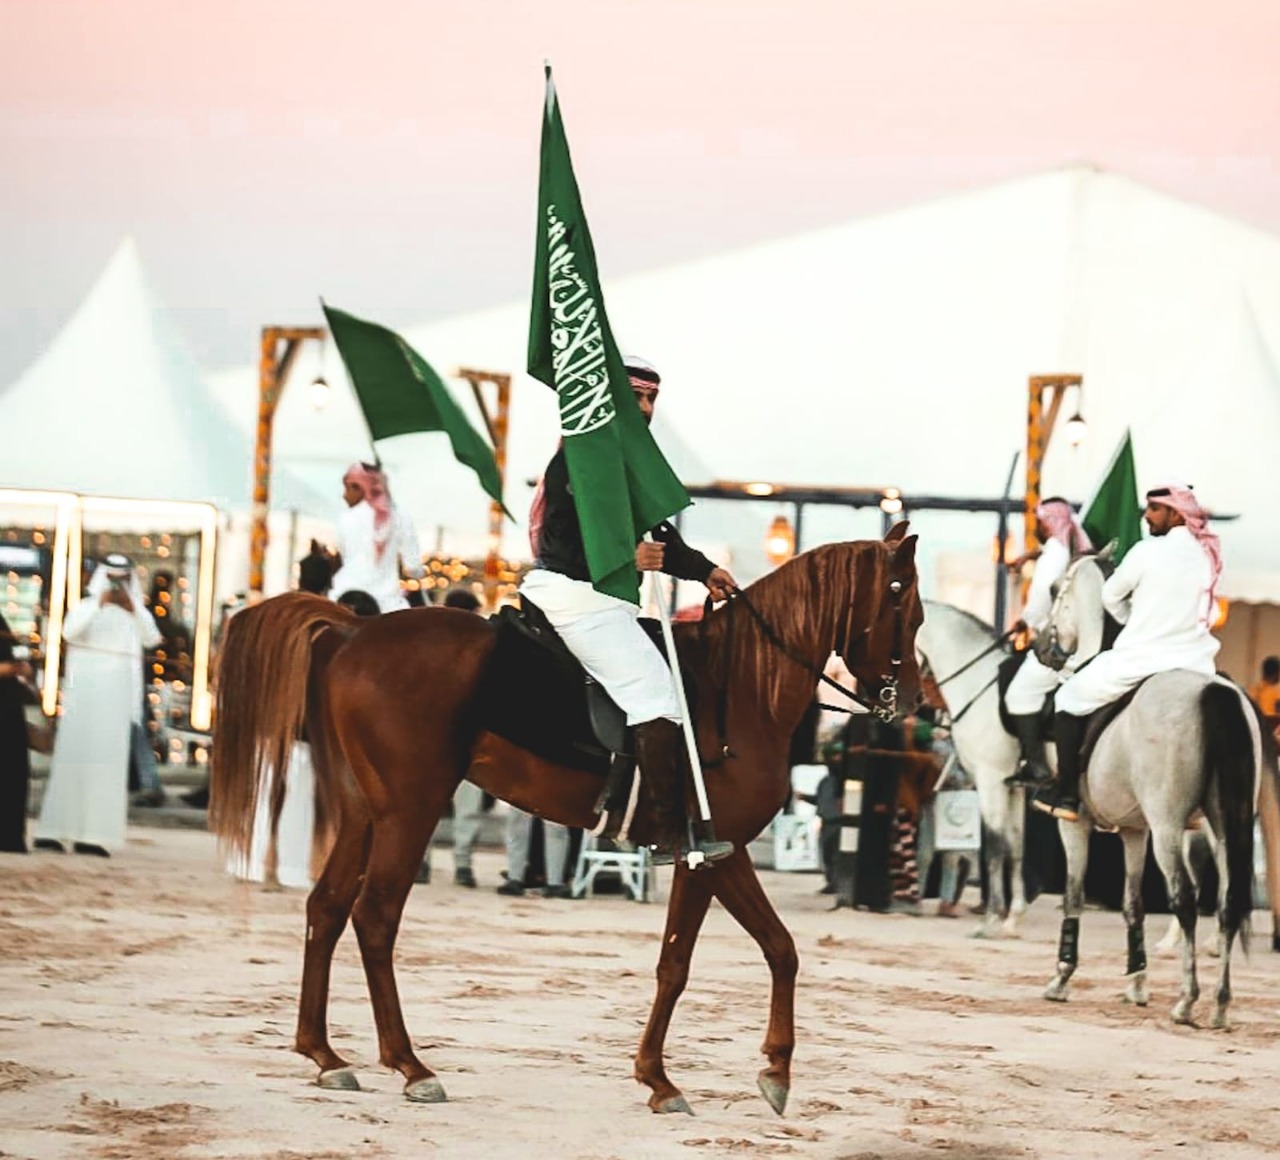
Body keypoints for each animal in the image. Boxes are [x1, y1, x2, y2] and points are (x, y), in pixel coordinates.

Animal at [209, 524, 921, 1111]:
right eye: (904, 608)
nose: (912, 701)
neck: (740, 683)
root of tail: (353, 630)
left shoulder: (727, 852)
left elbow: (778, 949)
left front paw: (772, 1071)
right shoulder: (707, 855)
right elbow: (680, 964)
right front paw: (662, 1079)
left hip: (365, 813)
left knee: (326, 909)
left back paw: (325, 1055)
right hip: (410, 812)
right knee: (375, 918)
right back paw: (411, 1066)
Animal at [921, 601, 1029, 937]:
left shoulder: (991, 780)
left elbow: (994, 846)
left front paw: (991, 918)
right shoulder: (1015, 787)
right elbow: (1015, 847)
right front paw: (1012, 918)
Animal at [1034, 553, 1264, 1024]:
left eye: (1054, 589)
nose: (1040, 648)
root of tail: (1213, 689)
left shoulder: (1076, 826)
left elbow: (1074, 894)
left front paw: (1061, 977)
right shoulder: (1133, 831)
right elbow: (1133, 903)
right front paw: (1136, 983)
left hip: (1170, 827)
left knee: (1186, 899)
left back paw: (1187, 1000)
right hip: (1222, 825)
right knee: (1229, 900)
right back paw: (1220, 1004)